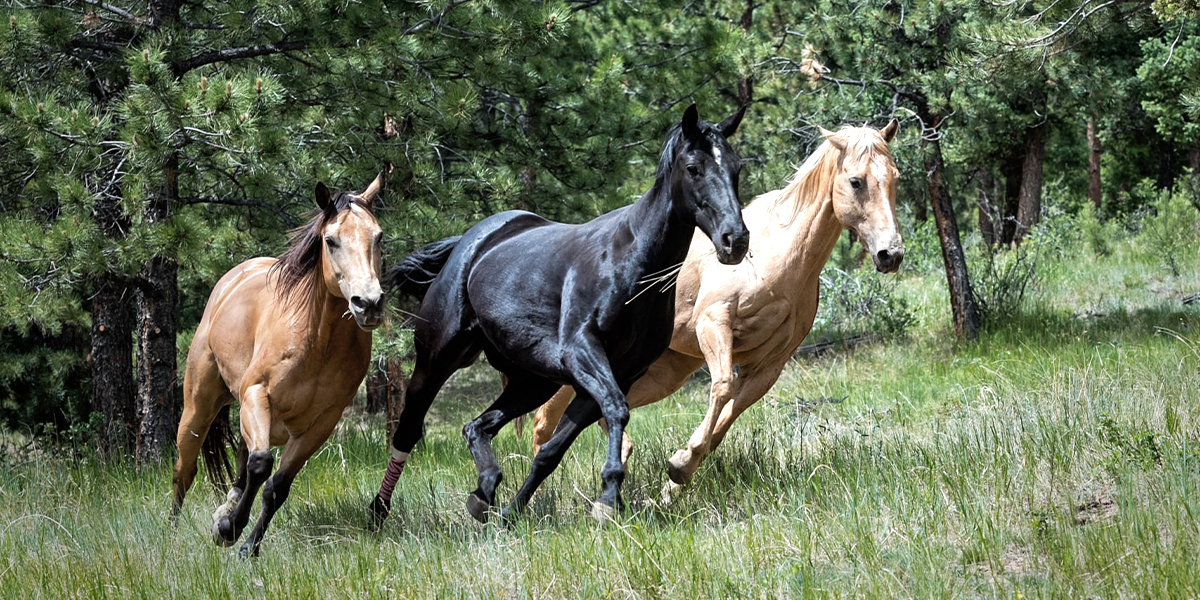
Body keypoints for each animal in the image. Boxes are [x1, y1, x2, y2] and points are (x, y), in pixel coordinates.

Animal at [172, 172, 387, 557]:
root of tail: (232, 279)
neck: (317, 341)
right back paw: (171, 535)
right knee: (185, 471)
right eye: (331, 240)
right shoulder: (257, 395)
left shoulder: (320, 424)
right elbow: (260, 466)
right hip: (199, 409)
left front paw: (246, 545)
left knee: (242, 462)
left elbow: (277, 486)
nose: (369, 303)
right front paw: (229, 528)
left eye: (378, 237)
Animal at [369, 104, 750, 526]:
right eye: (693, 167)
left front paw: (512, 513)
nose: (735, 240)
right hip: (436, 359)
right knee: (408, 430)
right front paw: (608, 497)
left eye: (736, 167)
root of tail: (470, 242)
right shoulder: (582, 352)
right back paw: (378, 511)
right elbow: (616, 409)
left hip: (533, 381)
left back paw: (485, 491)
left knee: (476, 427)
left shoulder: (613, 373)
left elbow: (552, 451)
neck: (632, 264)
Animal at [531, 121, 903, 492]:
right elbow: (722, 386)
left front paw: (676, 478)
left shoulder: (769, 365)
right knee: (544, 419)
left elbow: (725, 421)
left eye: (895, 177)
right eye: (856, 181)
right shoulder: (713, 324)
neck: (776, 255)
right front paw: (680, 466)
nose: (891, 253)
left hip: (664, 372)